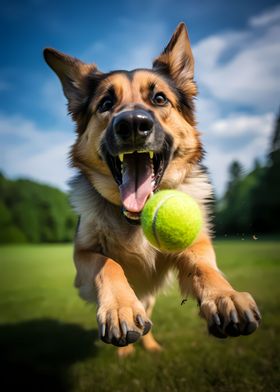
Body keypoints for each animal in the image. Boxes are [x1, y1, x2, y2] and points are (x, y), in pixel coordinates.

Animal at [43, 23, 260, 356]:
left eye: (159, 99)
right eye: (106, 103)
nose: (132, 123)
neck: (134, 219)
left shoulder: (194, 246)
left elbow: (204, 267)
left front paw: (225, 296)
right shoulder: (83, 256)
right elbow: (108, 264)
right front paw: (119, 308)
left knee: (148, 310)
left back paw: (152, 345)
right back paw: (126, 349)